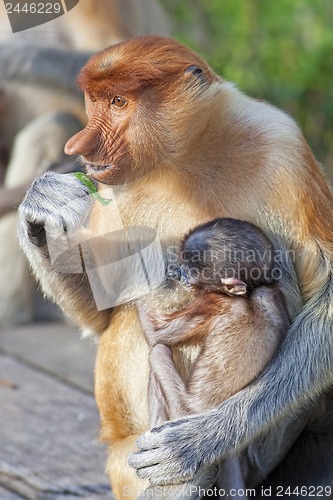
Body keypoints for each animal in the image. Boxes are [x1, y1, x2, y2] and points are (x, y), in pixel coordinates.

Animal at [137, 220, 288, 496]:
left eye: (190, 271)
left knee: (158, 351)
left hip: (182, 408)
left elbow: (154, 334)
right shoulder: (271, 295)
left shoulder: (211, 301)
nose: (178, 272)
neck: (246, 294)